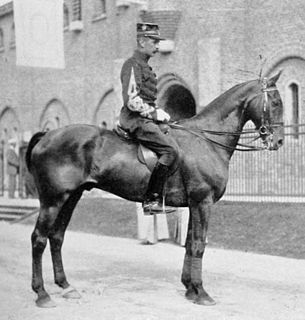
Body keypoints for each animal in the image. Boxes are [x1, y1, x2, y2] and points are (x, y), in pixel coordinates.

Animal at [25, 72, 282, 308]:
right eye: (276, 102)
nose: (278, 141)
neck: (205, 140)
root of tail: (47, 135)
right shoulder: (202, 202)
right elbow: (199, 244)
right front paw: (201, 292)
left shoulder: (193, 204)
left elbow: (189, 244)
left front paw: (190, 289)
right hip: (52, 201)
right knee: (39, 239)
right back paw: (42, 294)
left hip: (71, 197)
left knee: (56, 237)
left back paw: (66, 286)